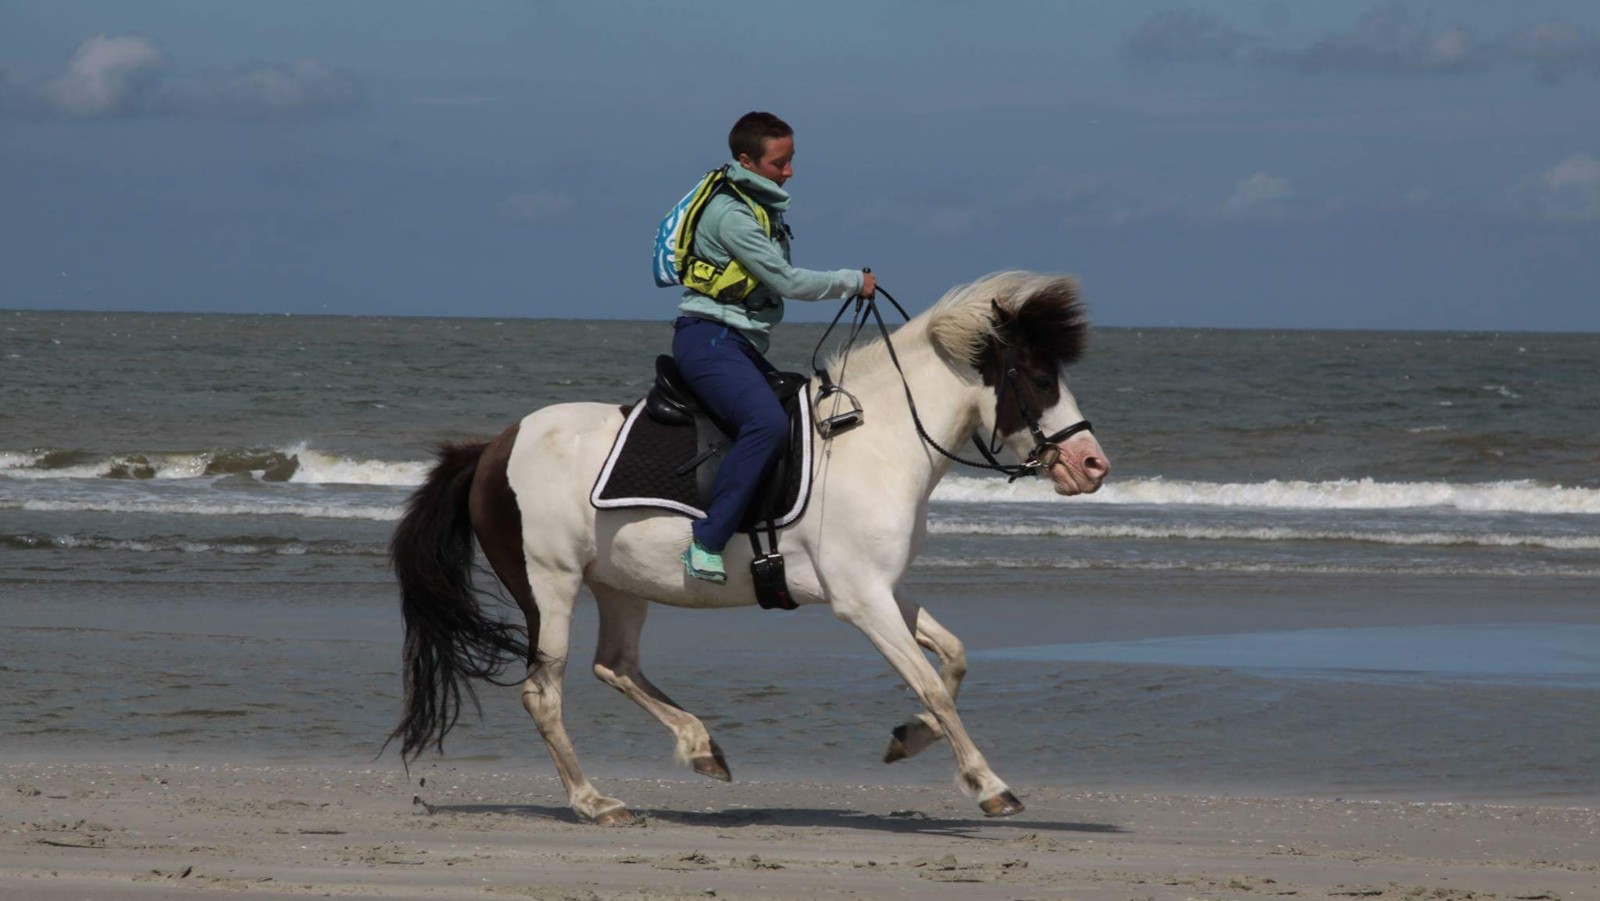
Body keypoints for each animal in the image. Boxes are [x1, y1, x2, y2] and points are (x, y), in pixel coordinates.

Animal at [388, 272, 1113, 825]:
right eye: (1037, 375)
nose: (1092, 465)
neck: (873, 442)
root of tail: (493, 447)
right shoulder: (861, 599)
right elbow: (933, 683)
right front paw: (990, 785)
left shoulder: (886, 588)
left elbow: (954, 660)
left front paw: (906, 740)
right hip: (550, 585)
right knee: (544, 692)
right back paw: (596, 802)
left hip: (618, 584)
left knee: (615, 664)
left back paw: (701, 747)